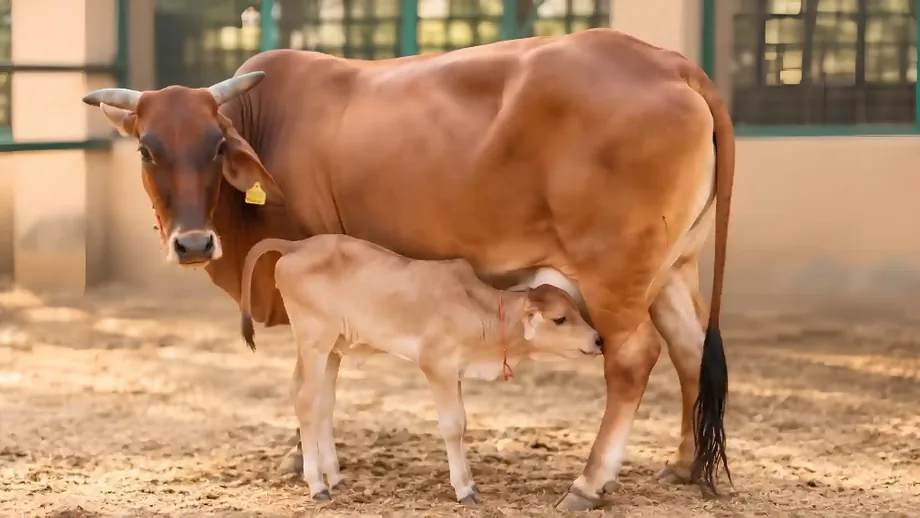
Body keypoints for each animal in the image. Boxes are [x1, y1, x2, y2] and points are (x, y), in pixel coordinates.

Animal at [238, 234, 603, 502]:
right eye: (560, 319)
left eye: (576, 311)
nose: (598, 339)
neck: (475, 308)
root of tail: (296, 245)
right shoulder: (436, 366)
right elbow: (452, 426)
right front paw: (464, 489)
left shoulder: (455, 373)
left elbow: (463, 423)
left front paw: (470, 483)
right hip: (314, 343)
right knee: (305, 400)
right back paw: (317, 485)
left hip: (331, 351)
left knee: (322, 404)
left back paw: (336, 477)